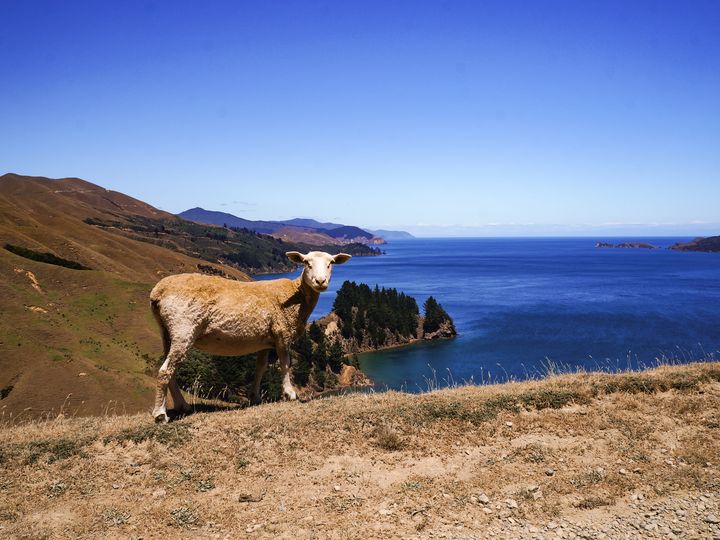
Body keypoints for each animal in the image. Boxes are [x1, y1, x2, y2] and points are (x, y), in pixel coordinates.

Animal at [148, 249, 350, 422]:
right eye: (307, 263)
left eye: (331, 263)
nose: (320, 281)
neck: (297, 296)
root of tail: (157, 292)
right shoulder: (282, 333)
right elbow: (286, 364)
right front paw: (290, 393)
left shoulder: (266, 341)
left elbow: (260, 367)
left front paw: (255, 397)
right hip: (183, 327)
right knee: (166, 370)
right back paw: (160, 414)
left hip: (168, 332)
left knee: (170, 369)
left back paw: (182, 406)